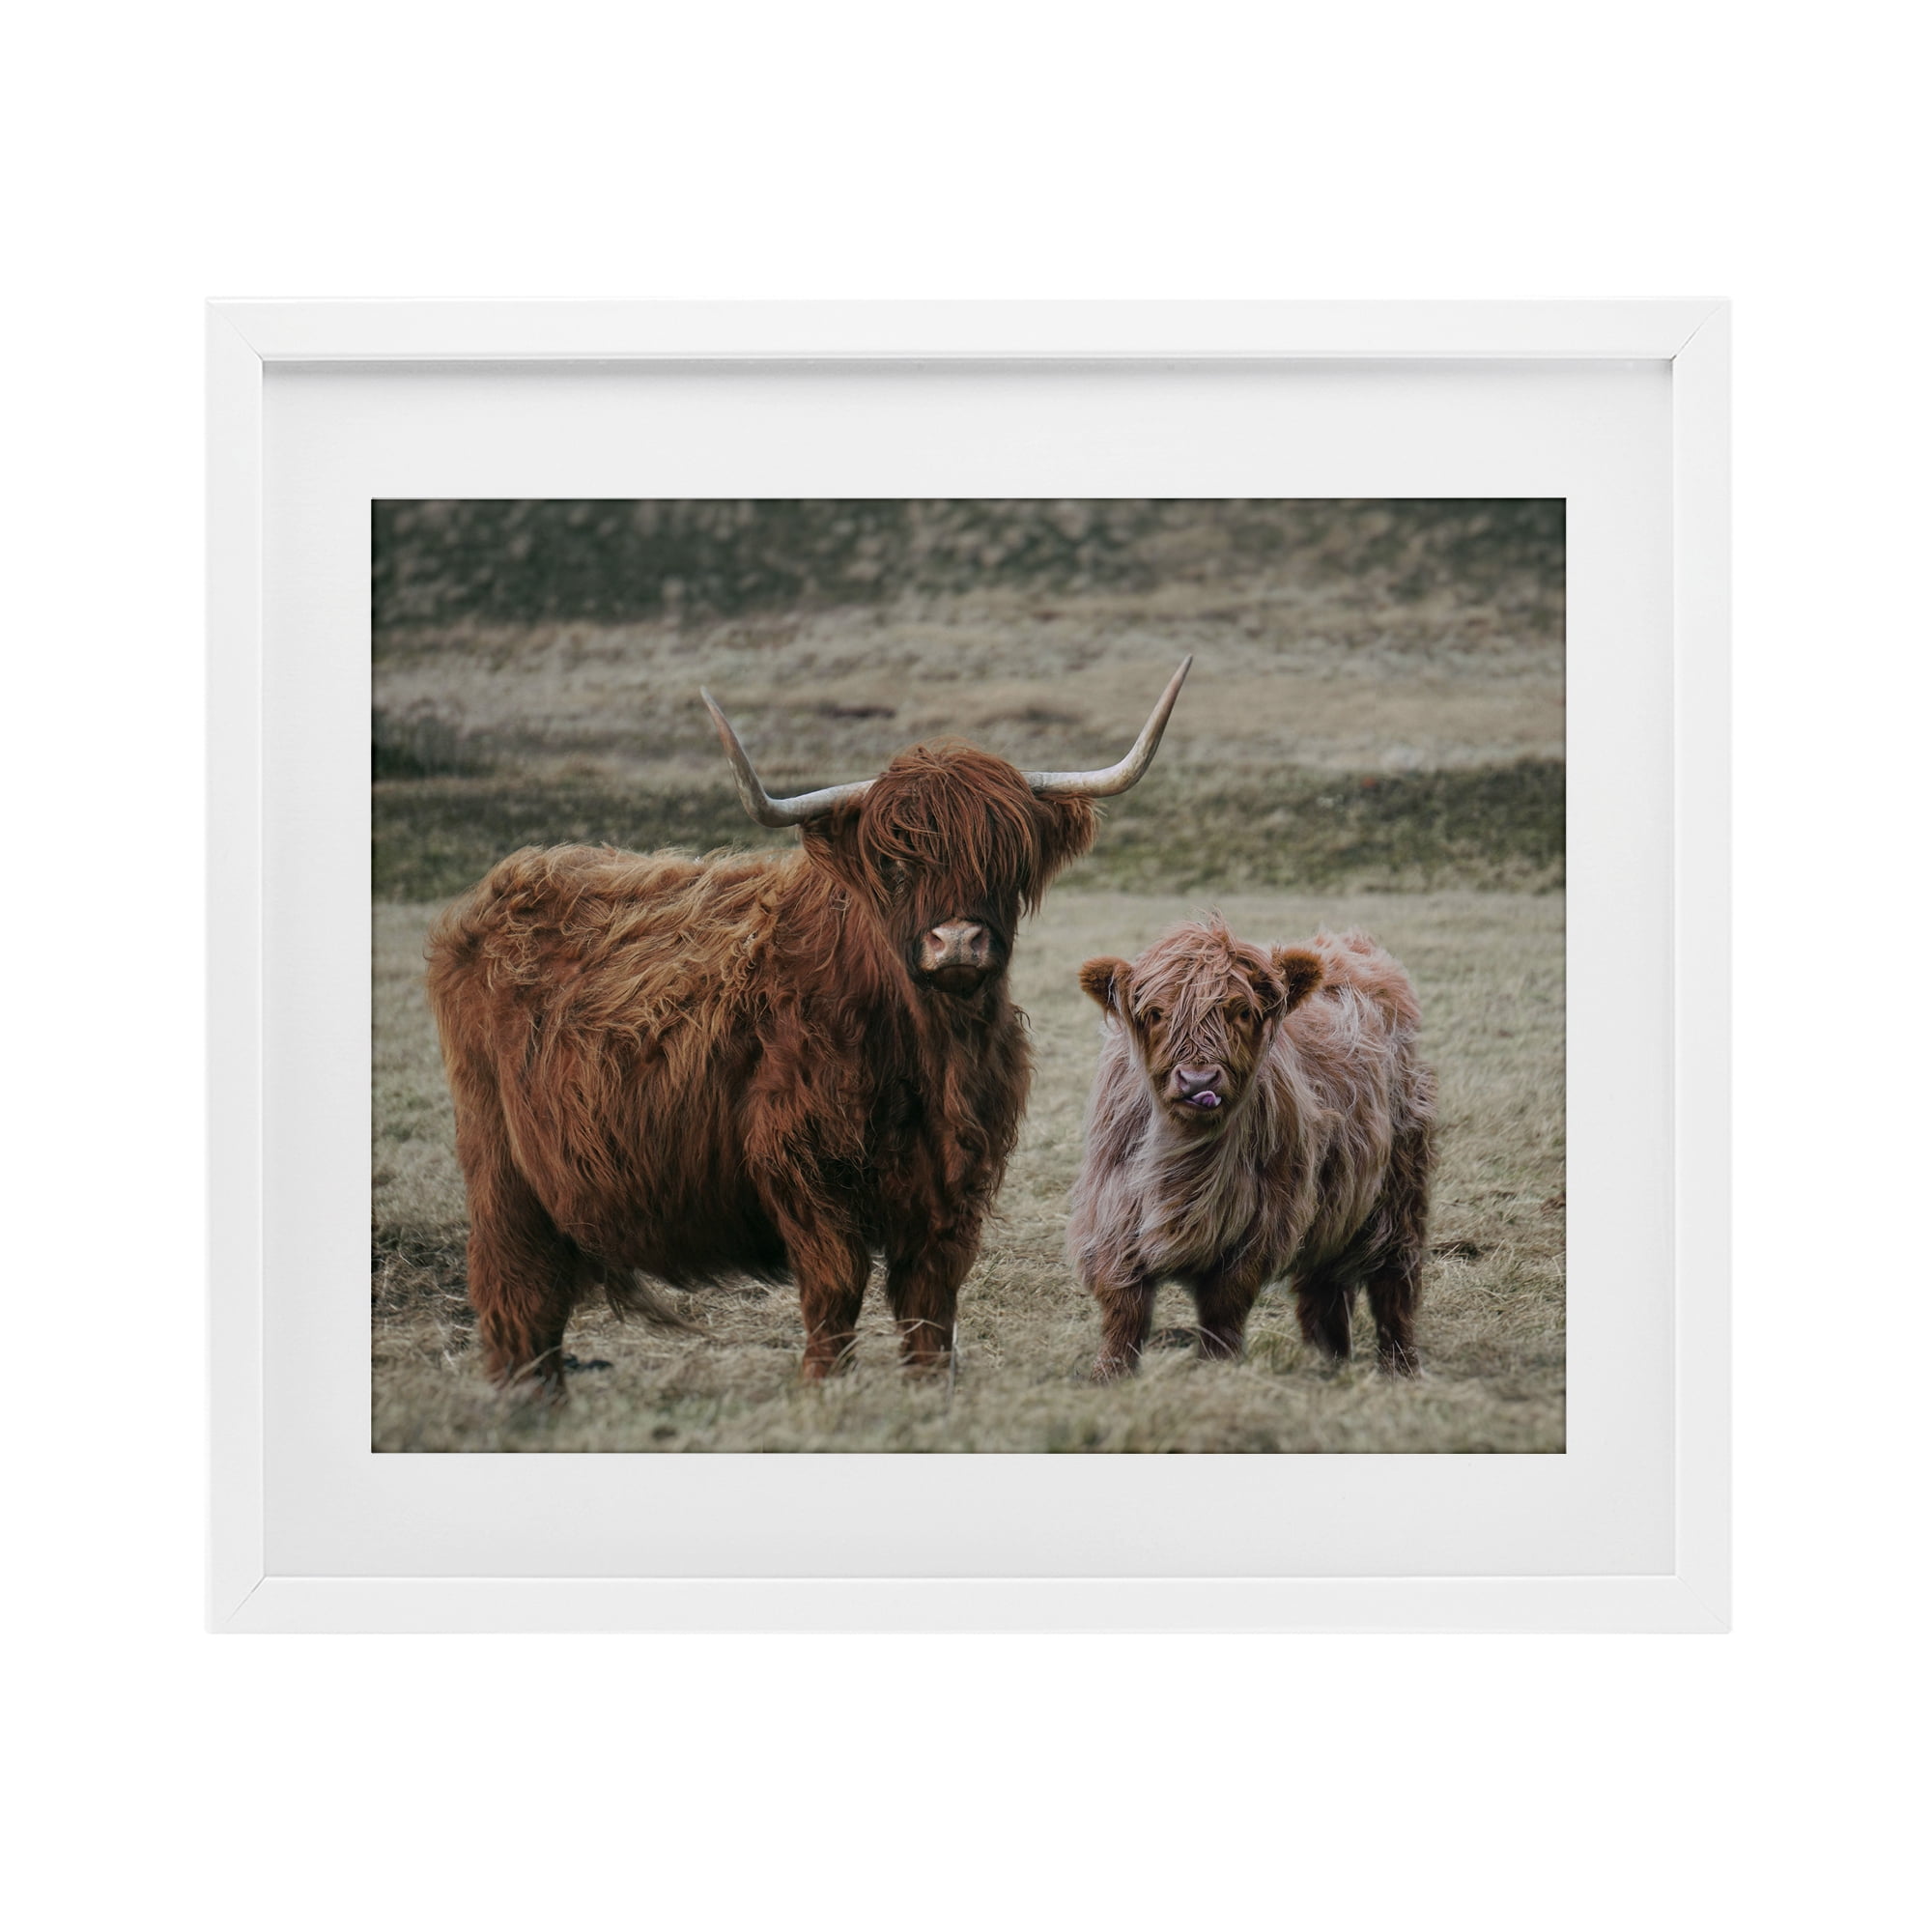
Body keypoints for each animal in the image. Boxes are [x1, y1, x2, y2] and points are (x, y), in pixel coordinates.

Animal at [424, 661, 1192, 1395]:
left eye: (1008, 859)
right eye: (894, 862)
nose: (957, 942)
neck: (926, 1054)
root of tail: (505, 883)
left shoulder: (953, 1182)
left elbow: (929, 1301)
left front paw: (928, 1389)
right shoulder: (804, 1166)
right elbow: (835, 1289)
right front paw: (823, 1387)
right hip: (500, 1164)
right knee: (517, 1292)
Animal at [1066, 919, 1434, 1379]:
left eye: (1242, 1011)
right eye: (1156, 1013)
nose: (1198, 1081)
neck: (1186, 1161)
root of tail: (1347, 943)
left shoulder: (1258, 1226)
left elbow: (1222, 1309)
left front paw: (1215, 1370)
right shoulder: (1113, 1215)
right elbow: (1124, 1308)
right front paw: (1109, 1375)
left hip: (1400, 1188)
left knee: (1394, 1281)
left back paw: (1399, 1368)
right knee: (1324, 1286)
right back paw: (1326, 1362)